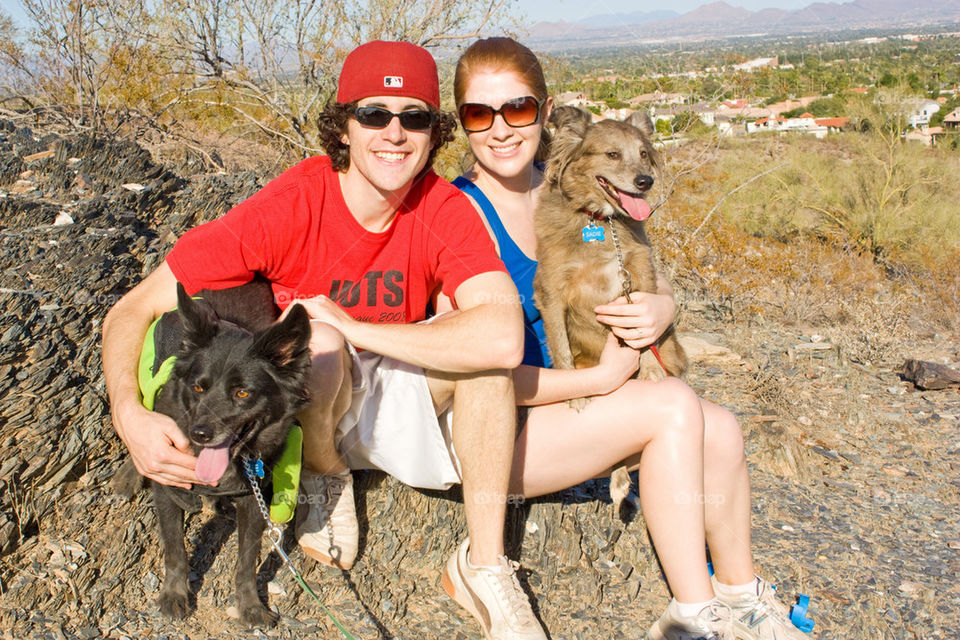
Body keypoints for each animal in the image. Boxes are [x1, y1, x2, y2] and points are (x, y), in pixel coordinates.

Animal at [115, 278, 312, 624]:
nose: (200, 433)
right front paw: (174, 594)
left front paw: (250, 605)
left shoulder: (253, 501)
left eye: (242, 393)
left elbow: (246, 560)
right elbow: (174, 549)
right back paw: (129, 473)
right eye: (198, 387)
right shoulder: (166, 487)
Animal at [536, 106, 688, 510]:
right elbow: (561, 350)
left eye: (644, 153)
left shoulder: (640, 274)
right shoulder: (550, 291)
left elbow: (643, 336)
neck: (601, 223)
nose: (645, 181)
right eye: (612, 154)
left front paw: (649, 368)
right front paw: (574, 395)